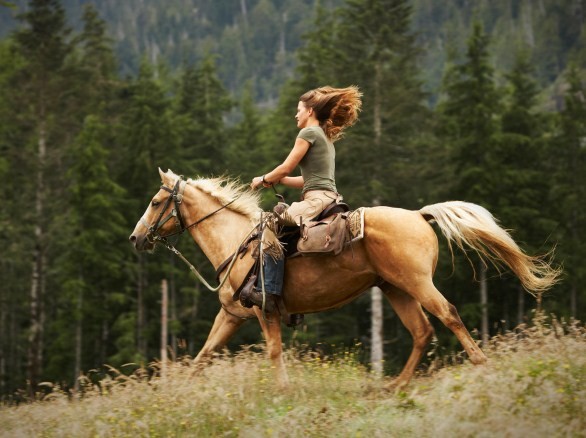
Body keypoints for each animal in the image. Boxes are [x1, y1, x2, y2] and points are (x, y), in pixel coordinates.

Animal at [128, 169, 556, 388]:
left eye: (155, 201)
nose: (135, 238)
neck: (238, 242)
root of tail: (419, 214)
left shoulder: (265, 312)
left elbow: (274, 352)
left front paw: (284, 392)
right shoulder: (232, 315)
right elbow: (203, 355)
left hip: (418, 284)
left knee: (448, 315)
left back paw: (481, 365)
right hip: (396, 289)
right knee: (422, 332)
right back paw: (393, 386)